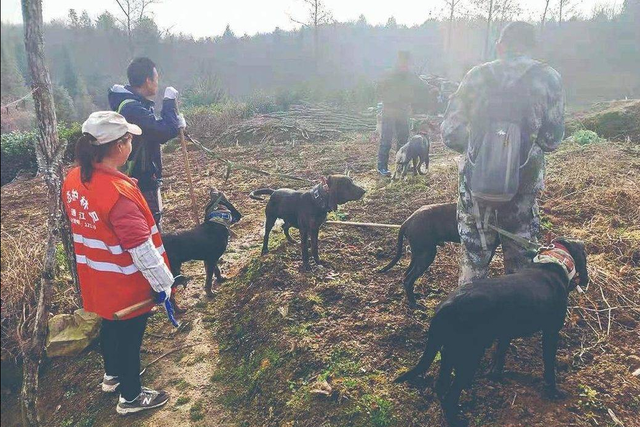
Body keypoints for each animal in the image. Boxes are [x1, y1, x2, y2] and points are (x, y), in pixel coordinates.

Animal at [396, 239, 592, 426]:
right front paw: (554, 391)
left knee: (441, 387)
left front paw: (494, 375)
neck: (553, 263)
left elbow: (500, 353)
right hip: (469, 356)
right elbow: (549, 368)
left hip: (450, 352)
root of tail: (447, 306)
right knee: (451, 393)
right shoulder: (551, 333)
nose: (585, 281)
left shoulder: (505, 332)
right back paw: (457, 420)